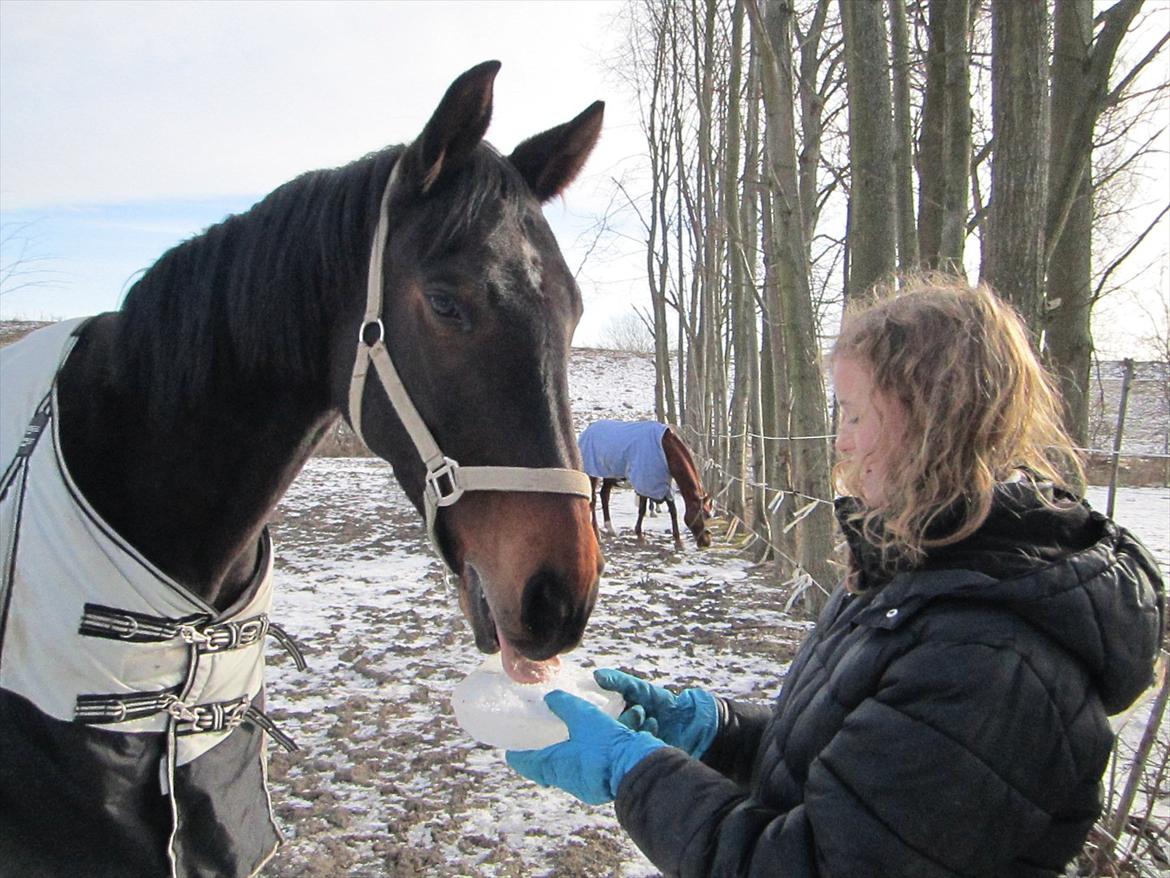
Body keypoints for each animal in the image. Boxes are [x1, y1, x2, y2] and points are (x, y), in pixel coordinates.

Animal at [577, 419, 711, 550]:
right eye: (704, 515)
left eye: (709, 515)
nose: (706, 542)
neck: (665, 449)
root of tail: (587, 431)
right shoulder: (645, 483)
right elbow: (642, 509)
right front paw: (640, 536)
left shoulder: (665, 485)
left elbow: (673, 511)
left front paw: (678, 541)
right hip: (592, 473)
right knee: (593, 500)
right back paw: (596, 533)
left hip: (609, 474)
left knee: (604, 495)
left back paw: (610, 528)